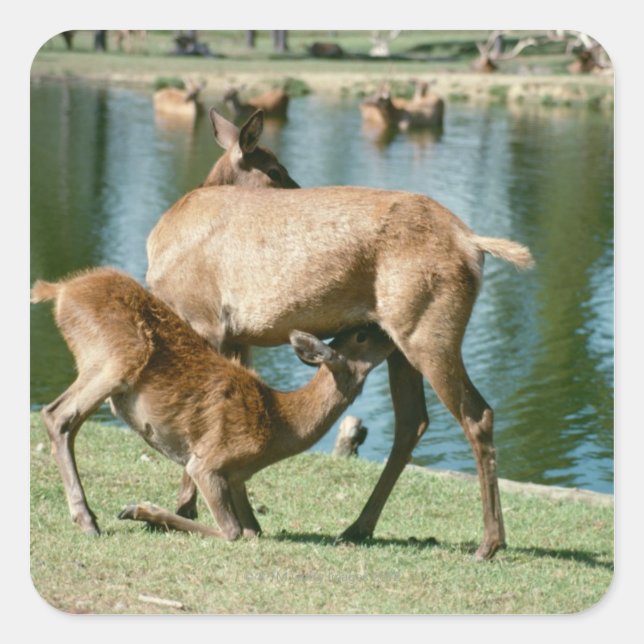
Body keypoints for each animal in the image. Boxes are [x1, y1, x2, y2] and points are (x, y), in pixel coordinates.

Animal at [31, 267, 394, 539]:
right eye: (362, 335)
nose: (389, 331)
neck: (281, 425)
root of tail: (60, 291)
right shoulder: (209, 461)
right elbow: (234, 531)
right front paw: (140, 511)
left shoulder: (237, 477)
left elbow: (254, 529)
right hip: (116, 358)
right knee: (57, 415)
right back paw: (88, 520)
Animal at [145, 180, 535, 561]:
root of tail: (474, 243)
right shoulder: (237, 337)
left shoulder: (205, 320)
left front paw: (185, 507)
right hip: (401, 341)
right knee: (413, 421)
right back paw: (358, 527)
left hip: (427, 333)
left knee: (476, 414)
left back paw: (488, 544)